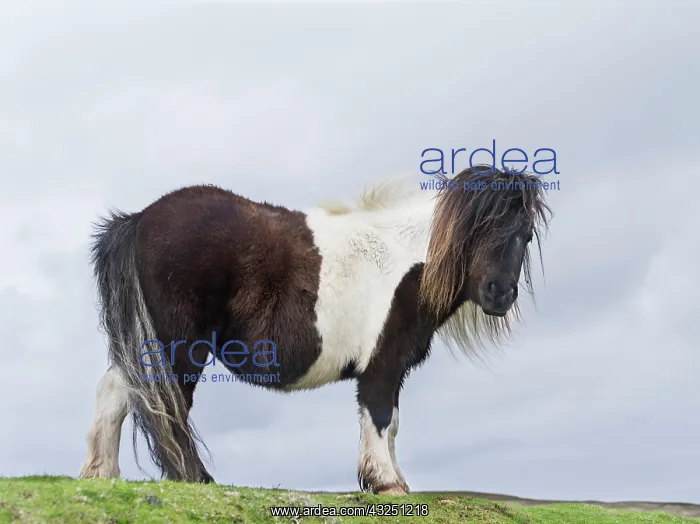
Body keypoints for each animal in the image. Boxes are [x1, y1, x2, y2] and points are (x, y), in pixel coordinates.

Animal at [78, 166, 551, 495]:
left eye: (526, 235)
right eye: (478, 229)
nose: (499, 295)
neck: (407, 261)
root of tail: (139, 219)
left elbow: (392, 423)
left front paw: (391, 479)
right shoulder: (383, 363)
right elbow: (381, 418)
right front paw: (387, 484)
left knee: (115, 391)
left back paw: (101, 475)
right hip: (177, 346)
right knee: (162, 405)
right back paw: (192, 477)